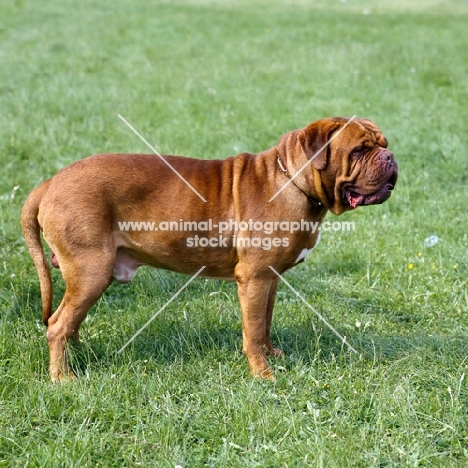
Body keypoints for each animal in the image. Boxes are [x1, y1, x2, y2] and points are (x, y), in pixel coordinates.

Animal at [20, 116, 396, 380]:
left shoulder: (269, 278)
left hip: (91, 276)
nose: (391, 157)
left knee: (70, 321)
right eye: (360, 150)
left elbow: (265, 322)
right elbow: (253, 329)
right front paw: (263, 374)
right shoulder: (254, 279)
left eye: (383, 144)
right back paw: (63, 378)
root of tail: (49, 183)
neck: (292, 181)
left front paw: (274, 355)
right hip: (91, 271)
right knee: (58, 325)